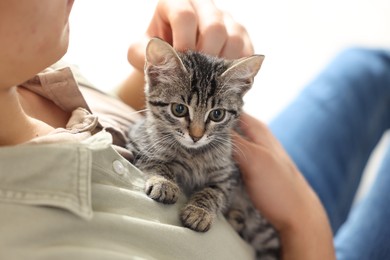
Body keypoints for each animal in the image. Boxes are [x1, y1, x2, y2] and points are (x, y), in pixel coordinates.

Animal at [128, 37, 280, 258]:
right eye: (179, 109)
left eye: (217, 114)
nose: (196, 136)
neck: (194, 153)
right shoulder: (137, 141)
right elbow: (157, 162)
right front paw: (165, 183)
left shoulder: (230, 174)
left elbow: (214, 192)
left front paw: (199, 212)